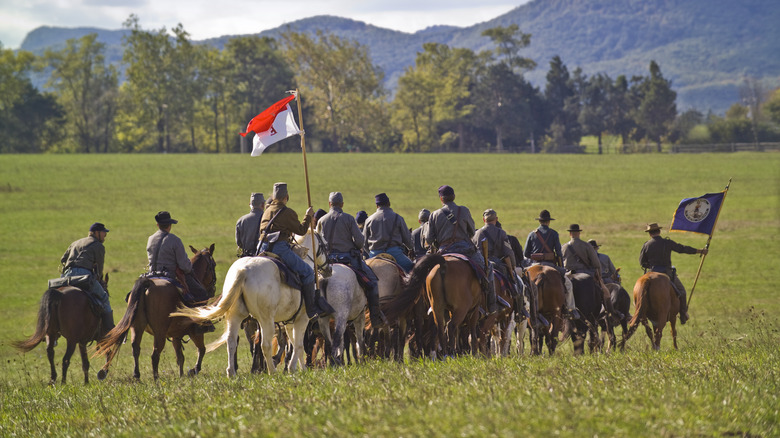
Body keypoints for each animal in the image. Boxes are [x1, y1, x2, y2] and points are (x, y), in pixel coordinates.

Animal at [95, 243, 216, 380]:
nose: (213, 289)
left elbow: (180, 357)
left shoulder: (175, 335)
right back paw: (156, 378)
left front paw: (181, 376)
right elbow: (201, 350)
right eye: (213, 265)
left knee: (135, 349)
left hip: (137, 327)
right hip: (159, 332)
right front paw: (193, 370)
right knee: (155, 354)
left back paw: (137, 376)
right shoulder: (194, 332)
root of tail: (147, 283)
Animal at [172, 234, 328, 374]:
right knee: (265, 345)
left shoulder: (289, 321)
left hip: (236, 316)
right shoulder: (302, 318)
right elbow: (298, 345)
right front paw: (293, 368)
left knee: (231, 341)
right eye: (324, 245)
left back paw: (232, 372)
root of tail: (243, 271)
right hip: (266, 320)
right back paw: (271, 371)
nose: (329, 268)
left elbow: (294, 343)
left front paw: (299, 368)